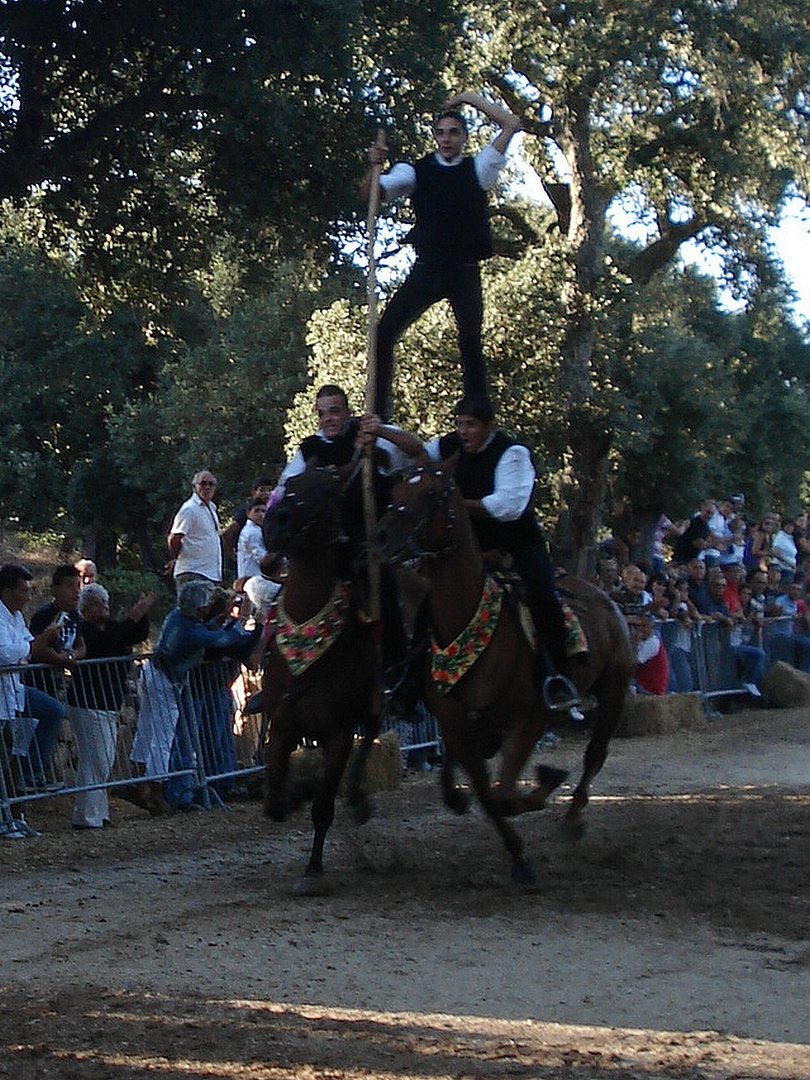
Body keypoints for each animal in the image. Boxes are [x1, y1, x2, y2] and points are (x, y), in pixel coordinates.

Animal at [263, 464, 384, 894]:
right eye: (289, 485)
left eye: (331, 492)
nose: (277, 522)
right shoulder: (282, 725)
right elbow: (273, 799)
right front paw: (294, 794)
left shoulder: (339, 733)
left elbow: (323, 806)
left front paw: (313, 870)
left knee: (371, 734)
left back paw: (359, 799)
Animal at [373, 455, 635, 885]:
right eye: (394, 490)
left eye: (432, 492)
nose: (379, 538)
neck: (468, 625)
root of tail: (603, 596)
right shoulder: (458, 728)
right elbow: (488, 794)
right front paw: (519, 855)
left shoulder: (528, 719)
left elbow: (502, 793)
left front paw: (545, 785)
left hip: (614, 689)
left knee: (595, 754)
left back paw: (572, 820)